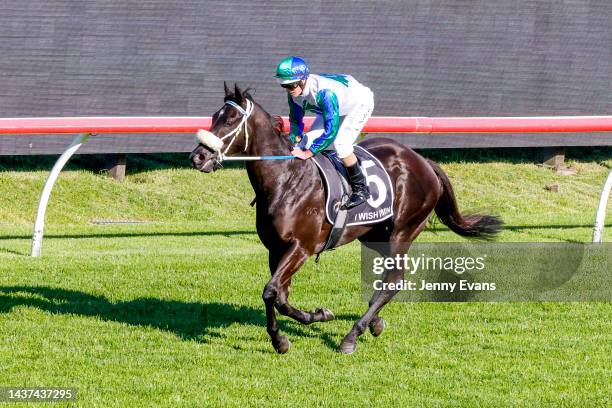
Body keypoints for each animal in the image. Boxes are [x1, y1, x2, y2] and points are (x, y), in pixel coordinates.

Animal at [190, 83, 502, 354]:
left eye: (230, 121)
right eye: (214, 117)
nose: (197, 157)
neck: (285, 179)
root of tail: (423, 161)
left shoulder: (301, 248)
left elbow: (271, 292)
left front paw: (287, 335)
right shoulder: (275, 249)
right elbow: (279, 296)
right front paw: (310, 320)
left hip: (403, 231)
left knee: (394, 279)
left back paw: (352, 335)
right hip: (375, 234)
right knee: (387, 279)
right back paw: (374, 321)